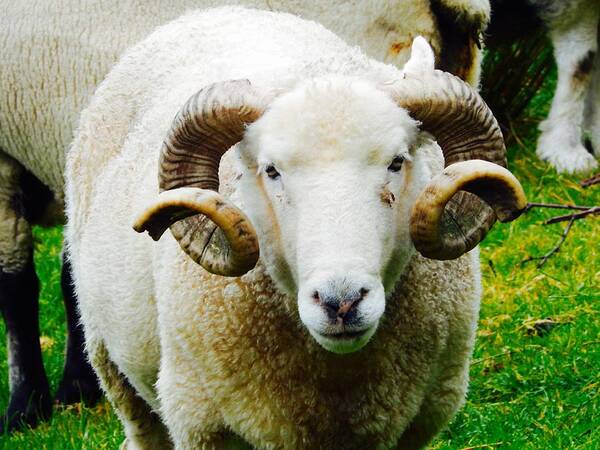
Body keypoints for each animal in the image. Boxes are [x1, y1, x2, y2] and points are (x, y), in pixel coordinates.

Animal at [0, 0, 490, 430]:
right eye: (270, 171)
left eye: (397, 161)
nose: (341, 301)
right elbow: (39, 281)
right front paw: (43, 400)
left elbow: (18, 285)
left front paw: (32, 402)